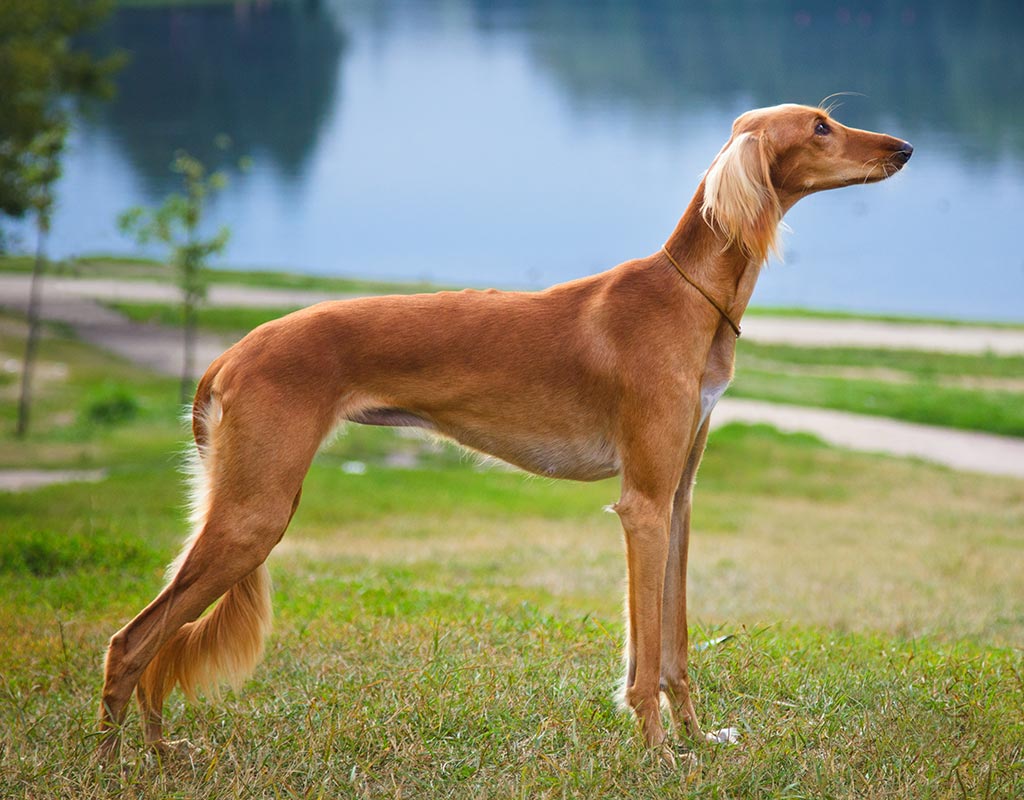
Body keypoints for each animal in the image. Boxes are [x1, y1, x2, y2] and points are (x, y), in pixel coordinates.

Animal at [97, 104, 913, 762]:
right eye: (820, 126)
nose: (904, 147)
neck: (688, 299)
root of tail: (231, 352)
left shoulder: (677, 500)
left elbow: (674, 646)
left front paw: (696, 738)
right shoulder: (642, 506)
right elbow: (646, 653)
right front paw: (657, 751)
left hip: (242, 512)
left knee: (160, 641)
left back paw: (160, 749)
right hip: (255, 514)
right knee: (132, 640)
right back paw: (114, 761)